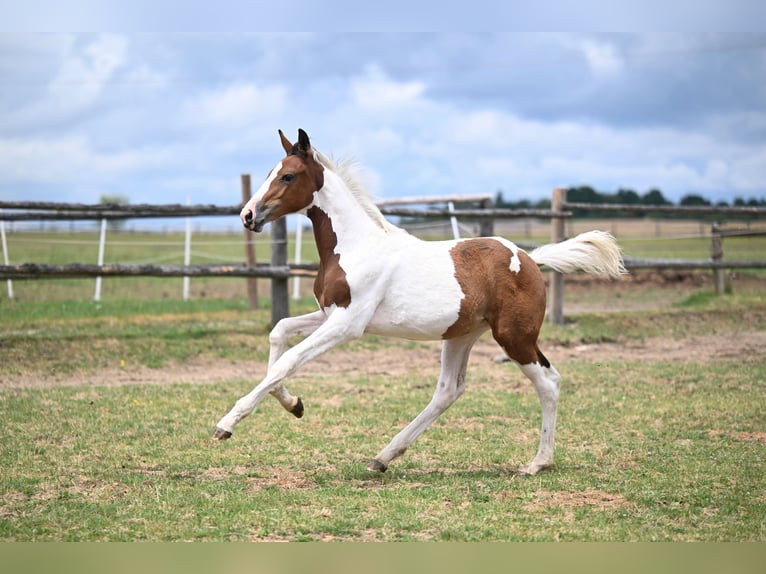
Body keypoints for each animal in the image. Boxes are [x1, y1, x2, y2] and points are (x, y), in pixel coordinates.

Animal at [213, 128, 626, 475]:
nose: (248, 215)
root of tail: (529, 258)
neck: (356, 246)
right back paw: (383, 457)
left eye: (287, 176)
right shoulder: (329, 314)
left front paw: (226, 424)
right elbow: (279, 334)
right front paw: (293, 403)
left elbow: (289, 360)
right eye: (271, 172)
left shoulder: (348, 325)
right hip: (461, 335)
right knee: (448, 390)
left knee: (548, 382)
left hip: (514, 336)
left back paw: (537, 463)